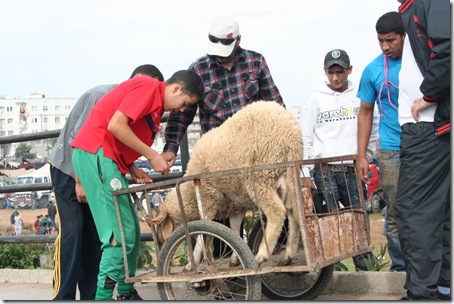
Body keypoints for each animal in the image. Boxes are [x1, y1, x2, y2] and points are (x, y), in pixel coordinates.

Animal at [153, 101, 306, 264]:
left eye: (161, 224)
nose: (161, 243)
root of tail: (291, 131)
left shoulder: (207, 199)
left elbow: (203, 234)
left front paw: (192, 261)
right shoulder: (236, 204)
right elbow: (235, 228)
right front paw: (234, 258)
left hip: (260, 178)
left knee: (277, 212)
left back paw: (262, 254)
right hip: (287, 175)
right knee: (294, 213)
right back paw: (288, 255)